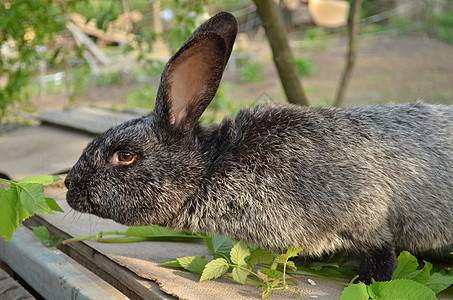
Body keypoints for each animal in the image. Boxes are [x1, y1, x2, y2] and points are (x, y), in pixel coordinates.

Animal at [63, 11, 452, 284]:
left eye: (124, 155)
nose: (68, 185)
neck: (215, 165)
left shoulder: (366, 216)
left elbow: (380, 254)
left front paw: (366, 281)